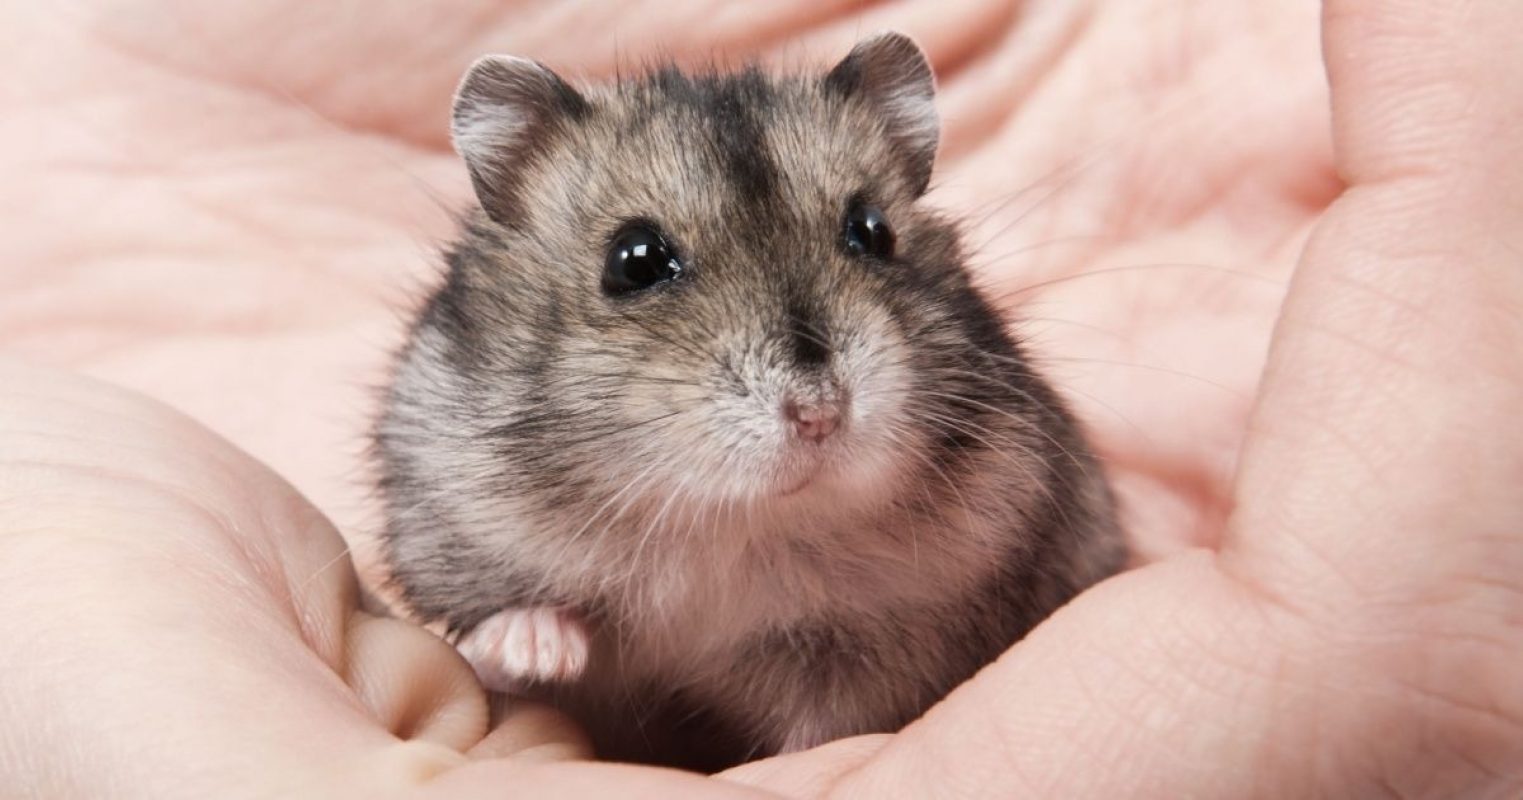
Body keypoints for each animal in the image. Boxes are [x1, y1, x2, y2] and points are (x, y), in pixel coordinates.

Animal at [375, 32, 1124, 771]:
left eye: (872, 230)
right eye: (634, 259)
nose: (820, 415)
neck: (731, 522)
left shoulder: (886, 640)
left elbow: (831, 719)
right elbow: (503, 611)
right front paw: (540, 651)